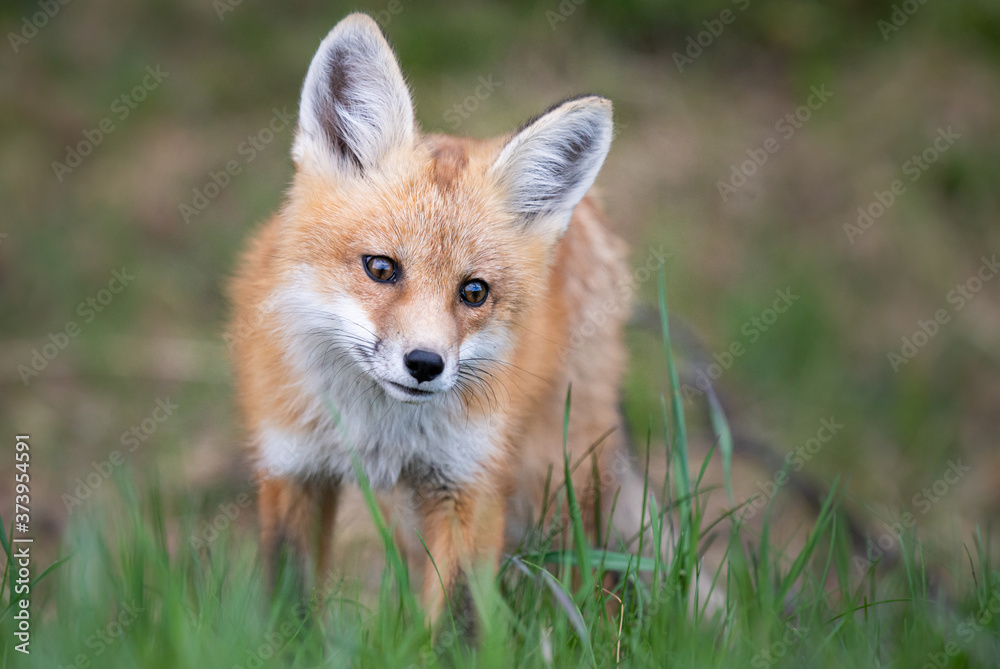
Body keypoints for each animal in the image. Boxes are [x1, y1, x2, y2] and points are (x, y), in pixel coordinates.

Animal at [229, 13, 652, 623]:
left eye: (473, 292)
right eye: (381, 267)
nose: (425, 364)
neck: (378, 432)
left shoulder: (467, 486)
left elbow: (455, 621)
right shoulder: (293, 469)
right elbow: (291, 605)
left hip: (554, 468)